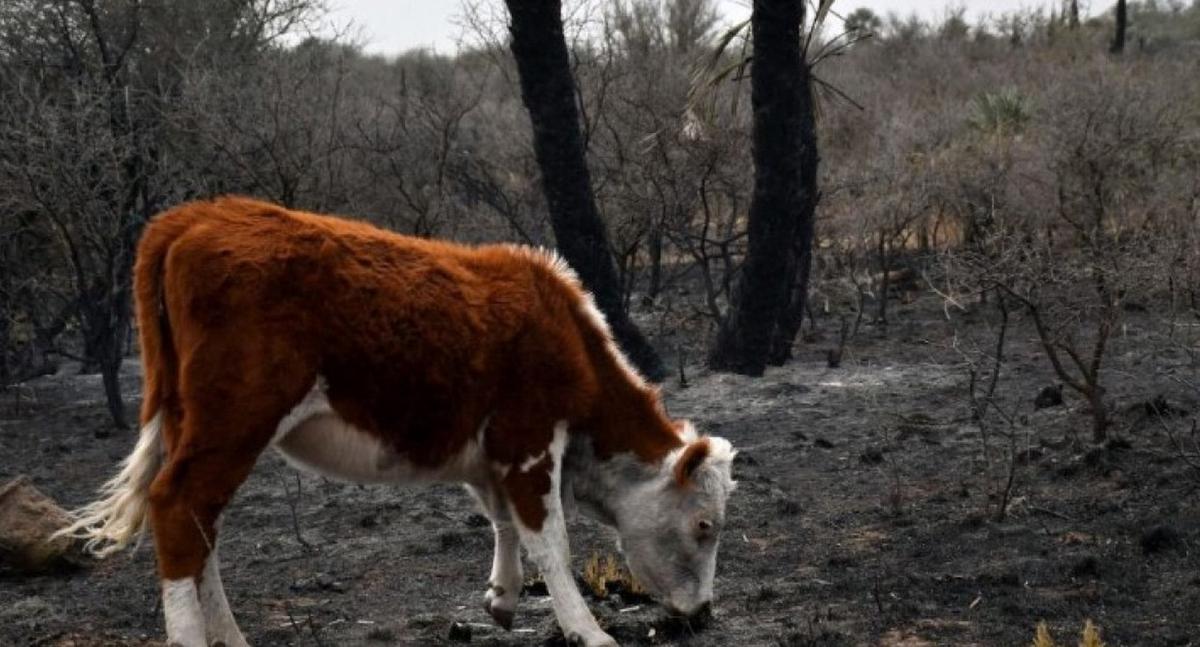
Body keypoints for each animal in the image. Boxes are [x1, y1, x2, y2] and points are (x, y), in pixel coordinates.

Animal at [56, 195, 734, 647]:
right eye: (705, 525)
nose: (703, 612)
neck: (567, 335)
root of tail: (192, 216)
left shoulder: (489, 453)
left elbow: (501, 520)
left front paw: (502, 597)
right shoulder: (527, 440)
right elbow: (551, 541)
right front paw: (586, 630)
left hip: (192, 424)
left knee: (202, 526)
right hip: (233, 421)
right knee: (177, 509)